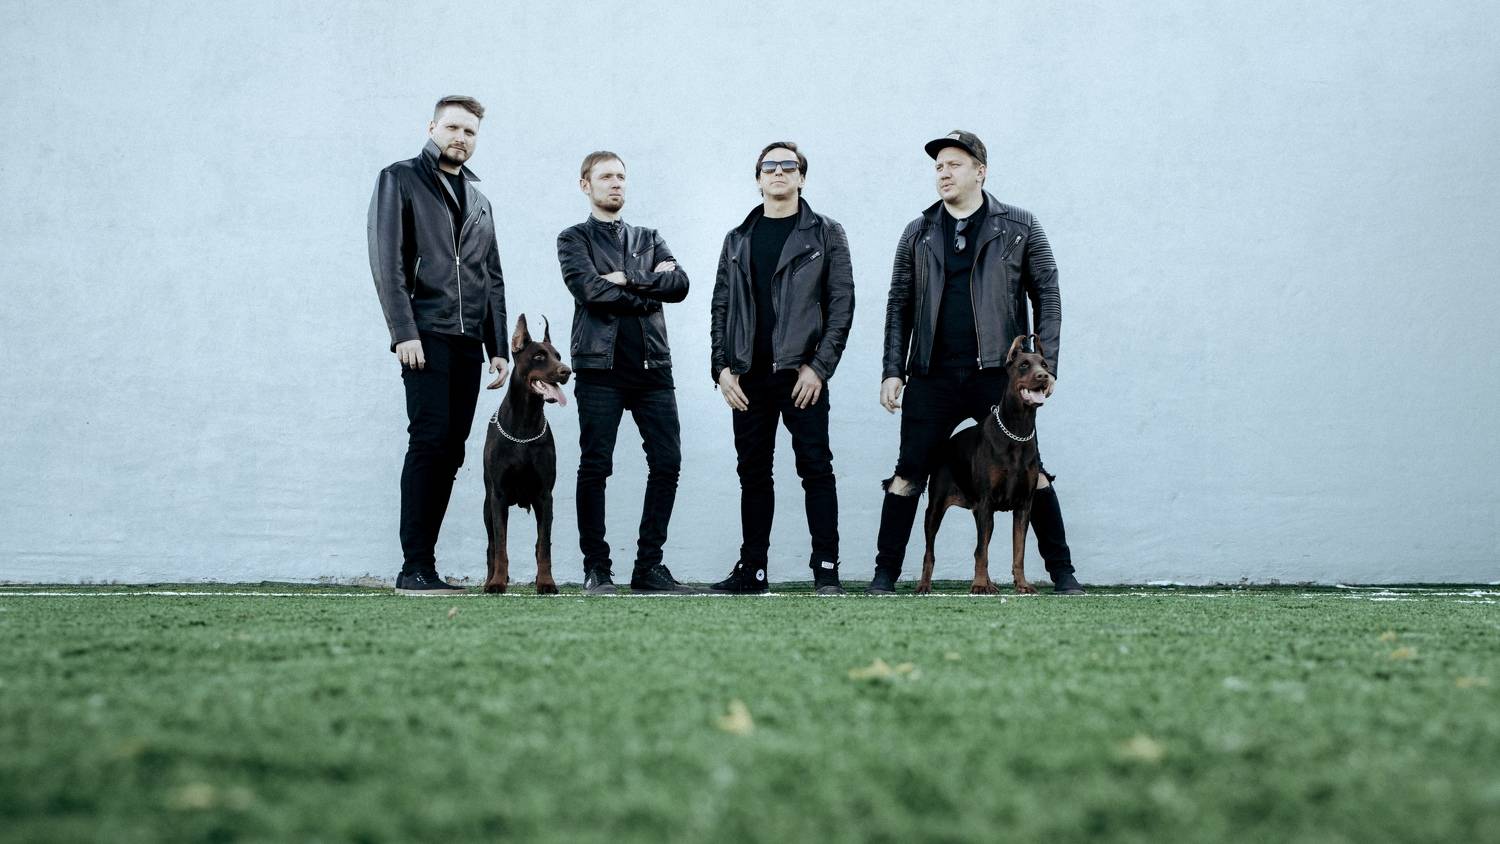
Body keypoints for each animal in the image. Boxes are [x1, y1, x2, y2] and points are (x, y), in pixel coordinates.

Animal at [481, 315, 571, 594]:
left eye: (558, 355)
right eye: (539, 356)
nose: (567, 371)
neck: (525, 425)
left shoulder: (544, 496)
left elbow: (544, 546)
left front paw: (546, 582)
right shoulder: (498, 496)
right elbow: (500, 545)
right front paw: (497, 582)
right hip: (486, 506)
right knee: (491, 545)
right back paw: (488, 580)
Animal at [916, 335, 1054, 595]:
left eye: (1045, 364)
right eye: (1024, 365)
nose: (1044, 377)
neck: (1017, 431)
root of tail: (946, 444)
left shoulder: (1023, 506)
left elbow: (1017, 551)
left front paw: (1022, 584)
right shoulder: (987, 500)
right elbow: (981, 551)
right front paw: (979, 584)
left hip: (979, 510)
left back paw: (990, 584)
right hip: (937, 507)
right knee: (930, 550)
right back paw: (924, 585)